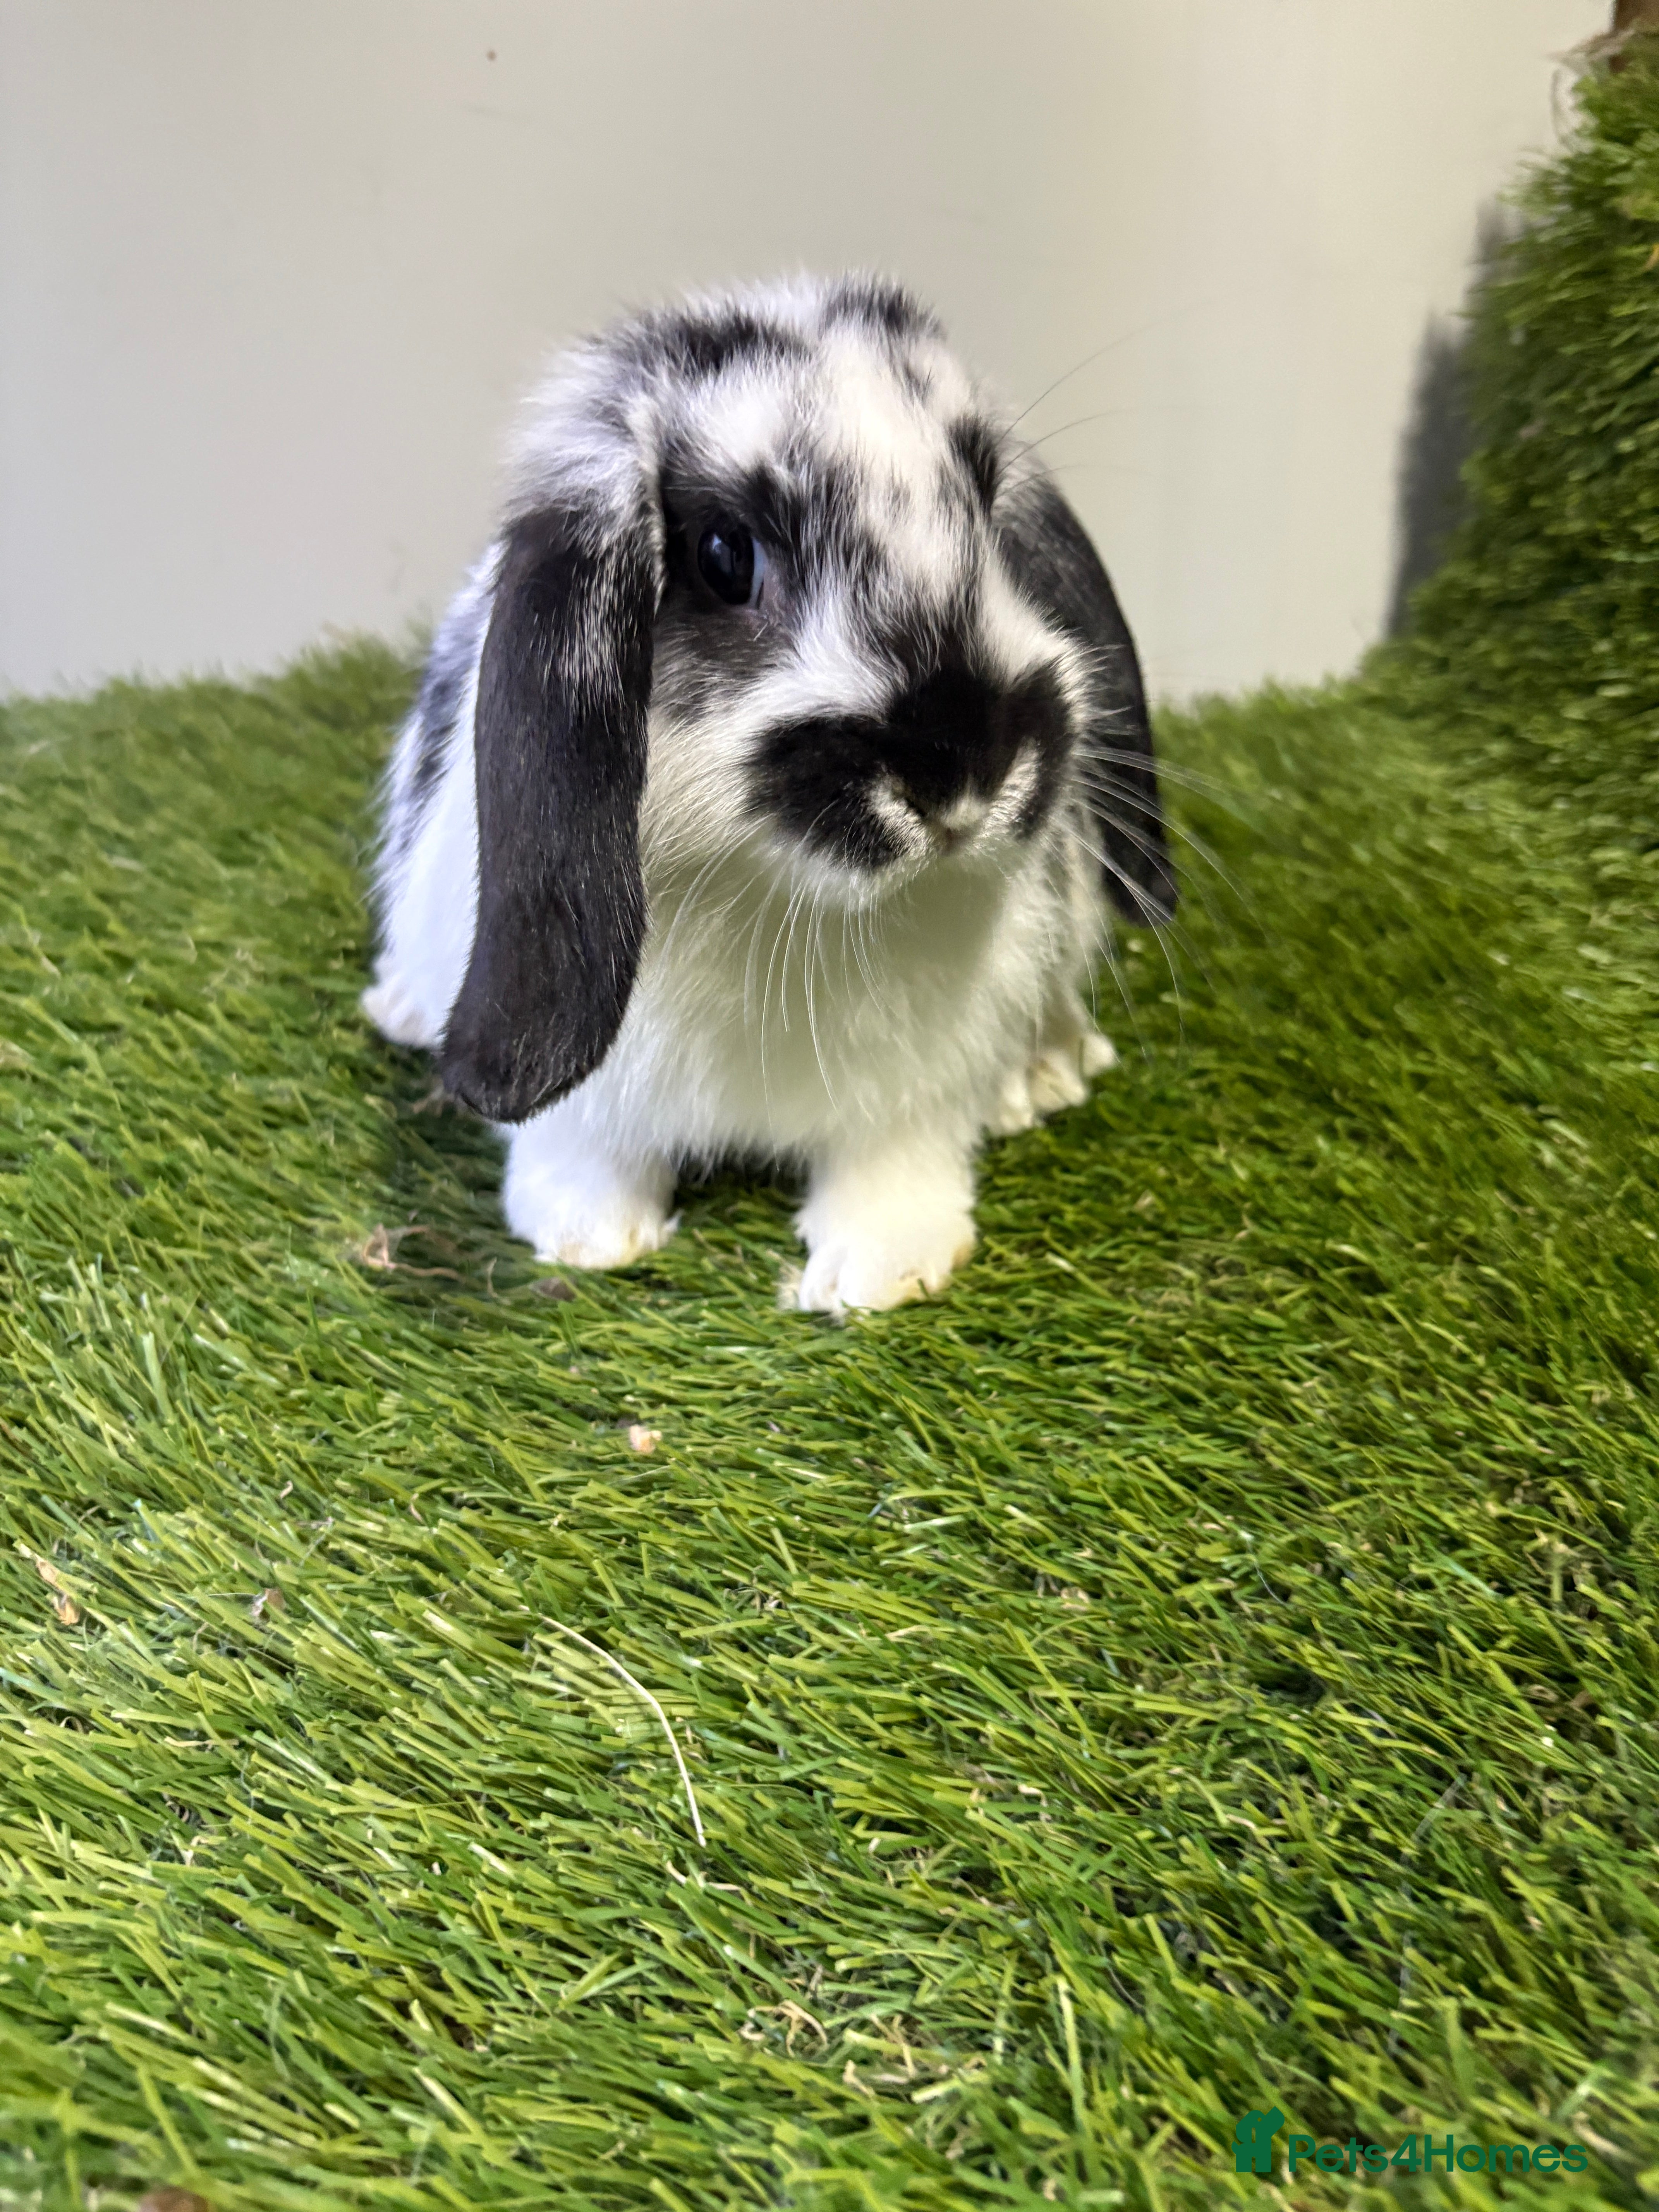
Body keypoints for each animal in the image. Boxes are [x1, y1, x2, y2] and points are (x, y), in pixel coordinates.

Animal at [362, 274, 1175, 1312]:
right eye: (724, 554)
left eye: (991, 511)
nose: (962, 769)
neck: (781, 897)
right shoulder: (584, 1103)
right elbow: (577, 1150)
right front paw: (588, 1239)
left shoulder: (914, 1089)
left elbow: (896, 1164)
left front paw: (882, 1273)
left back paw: (1050, 1071)